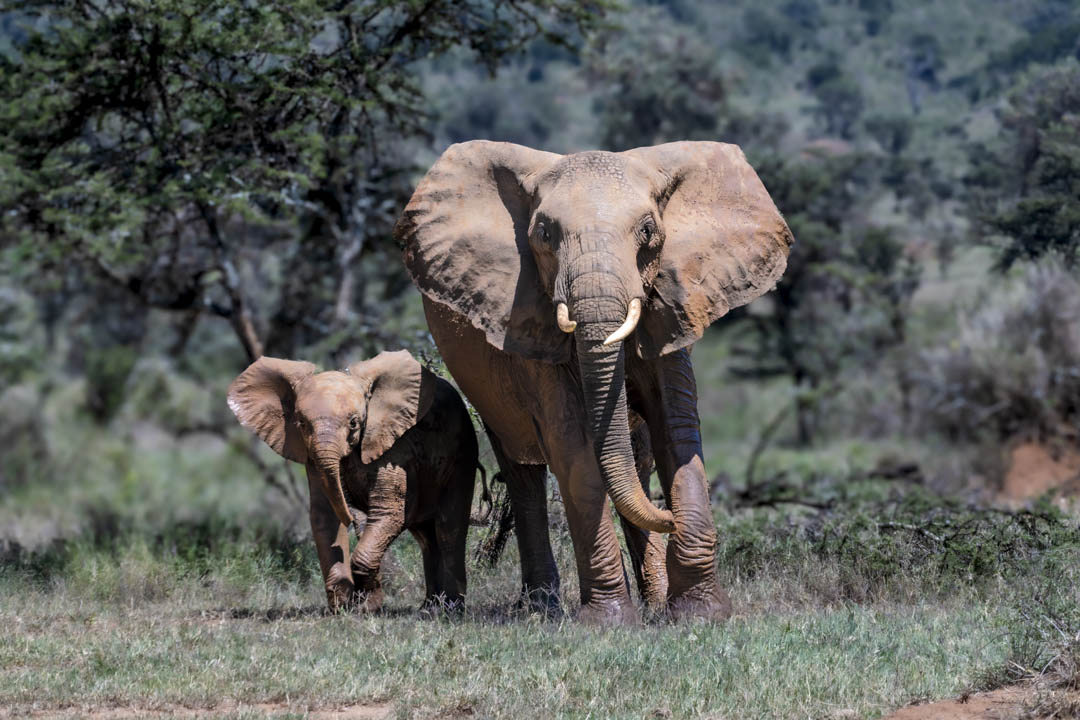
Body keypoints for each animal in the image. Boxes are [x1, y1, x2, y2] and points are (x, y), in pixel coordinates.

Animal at [227, 350, 480, 613]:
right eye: (301, 424)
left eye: (354, 423)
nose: (352, 514)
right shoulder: (312, 458)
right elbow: (325, 514)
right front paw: (345, 606)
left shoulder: (394, 446)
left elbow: (390, 513)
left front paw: (365, 606)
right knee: (426, 538)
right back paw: (429, 606)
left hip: (463, 454)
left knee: (448, 529)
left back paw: (450, 608)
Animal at [395, 140, 793, 623]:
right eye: (544, 234)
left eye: (647, 231)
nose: (670, 517)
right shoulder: (530, 320)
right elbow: (573, 444)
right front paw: (609, 621)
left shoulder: (673, 307)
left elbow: (677, 431)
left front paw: (701, 613)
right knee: (523, 469)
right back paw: (542, 608)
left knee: (636, 460)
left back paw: (654, 601)